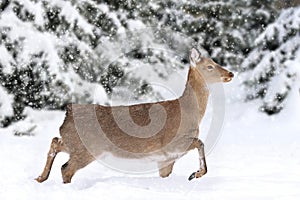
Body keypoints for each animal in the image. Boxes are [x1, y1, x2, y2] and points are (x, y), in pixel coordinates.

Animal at [35, 47, 234, 184]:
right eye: (210, 66)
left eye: (216, 62)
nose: (230, 73)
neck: (190, 112)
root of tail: (68, 112)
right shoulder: (172, 143)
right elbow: (201, 142)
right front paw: (195, 174)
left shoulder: (166, 159)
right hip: (88, 148)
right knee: (65, 168)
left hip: (75, 143)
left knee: (56, 141)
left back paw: (40, 177)